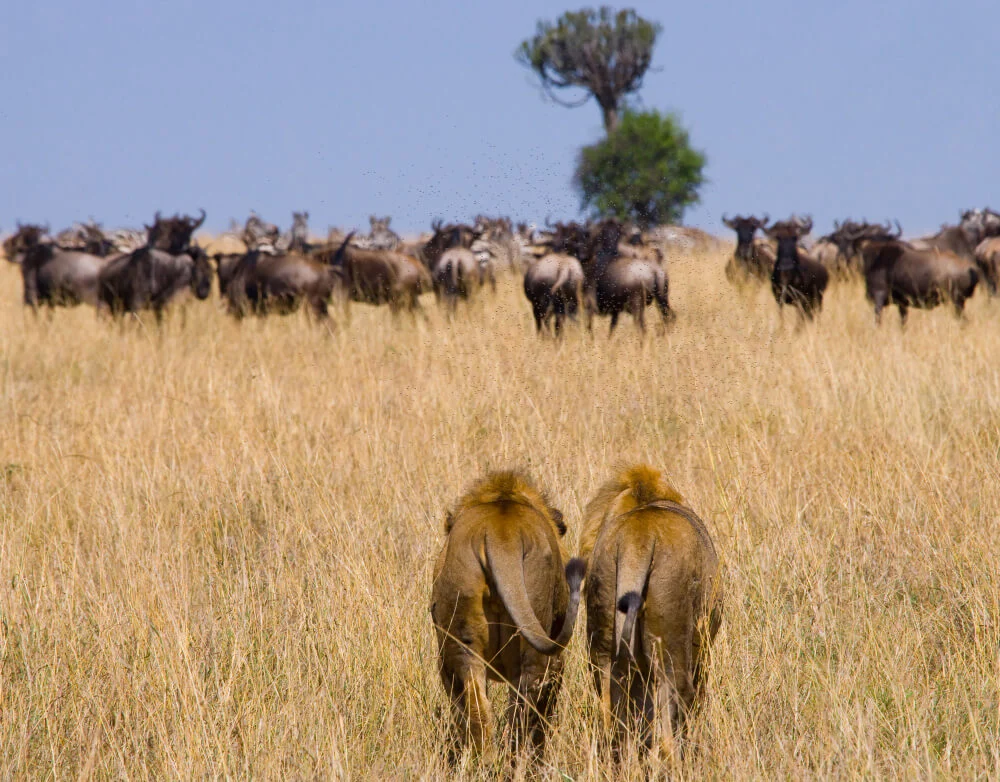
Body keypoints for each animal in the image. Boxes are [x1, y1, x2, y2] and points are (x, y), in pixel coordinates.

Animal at [430, 471, 586, 762]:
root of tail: (500, 536)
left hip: (461, 641)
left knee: (478, 709)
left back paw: (485, 762)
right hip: (539, 647)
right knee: (524, 712)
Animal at [580, 465, 722, 762]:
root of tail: (637, 540)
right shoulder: (703, 648)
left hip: (602, 646)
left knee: (612, 720)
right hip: (672, 641)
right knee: (674, 716)